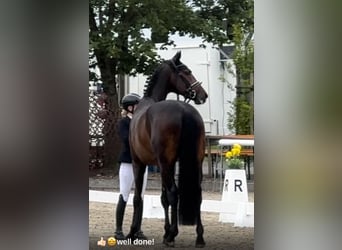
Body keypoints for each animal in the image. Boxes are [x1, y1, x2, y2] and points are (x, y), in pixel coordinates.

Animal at [124, 51, 207, 247]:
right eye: (186, 72)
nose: (203, 95)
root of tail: (184, 110)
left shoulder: (139, 163)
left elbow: (138, 197)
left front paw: (132, 232)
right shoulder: (161, 166)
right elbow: (162, 199)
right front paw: (164, 231)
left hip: (165, 163)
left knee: (174, 193)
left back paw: (172, 235)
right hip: (194, 162)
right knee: (197, 194)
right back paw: (199, 237)